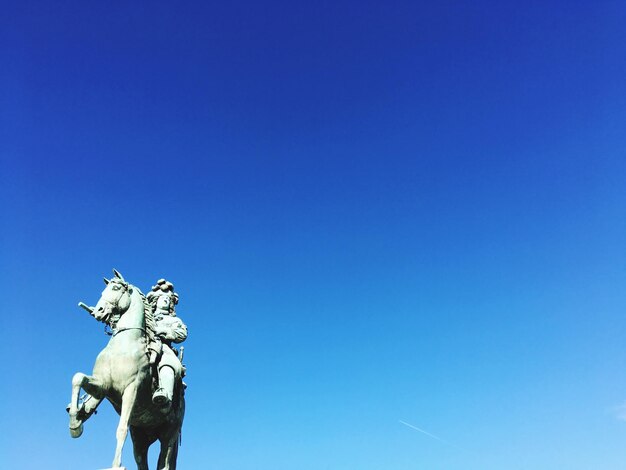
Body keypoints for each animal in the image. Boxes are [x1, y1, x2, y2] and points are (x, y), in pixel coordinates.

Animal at [69, 272, 185, 470]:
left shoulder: (131, 389)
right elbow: (78, 378)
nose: (98, 311)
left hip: (170, 433)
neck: (123, 344)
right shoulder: (102, 386)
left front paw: (116, 465)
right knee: (141, 459)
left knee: (165, 460)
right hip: (140, 436)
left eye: (116, 288)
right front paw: (75, 421)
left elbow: (121, 428)